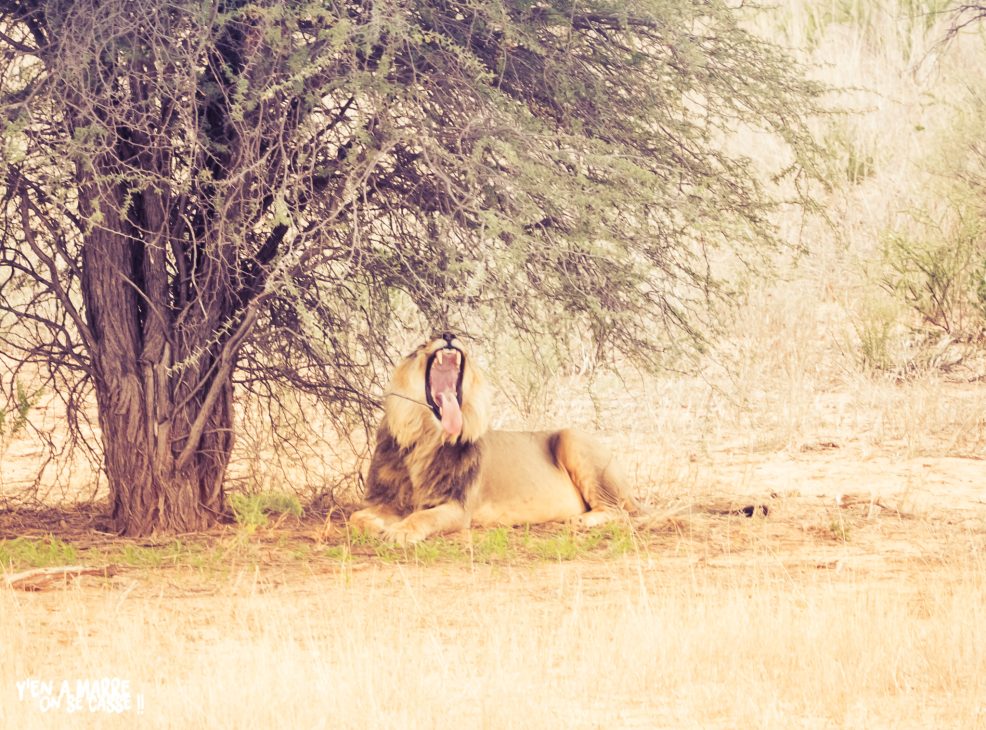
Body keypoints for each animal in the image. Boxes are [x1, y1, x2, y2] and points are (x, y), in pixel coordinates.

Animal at [349, 333, 638, 544]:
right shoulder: (389, 501)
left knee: (618, 510)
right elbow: (355, 516)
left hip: (572, 438)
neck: (426, 439)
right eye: (421, 345)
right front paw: (375, 526)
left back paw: (580, 520)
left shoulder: (458, 507)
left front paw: (400, 531)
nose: (448, 334)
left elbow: (422, 517)